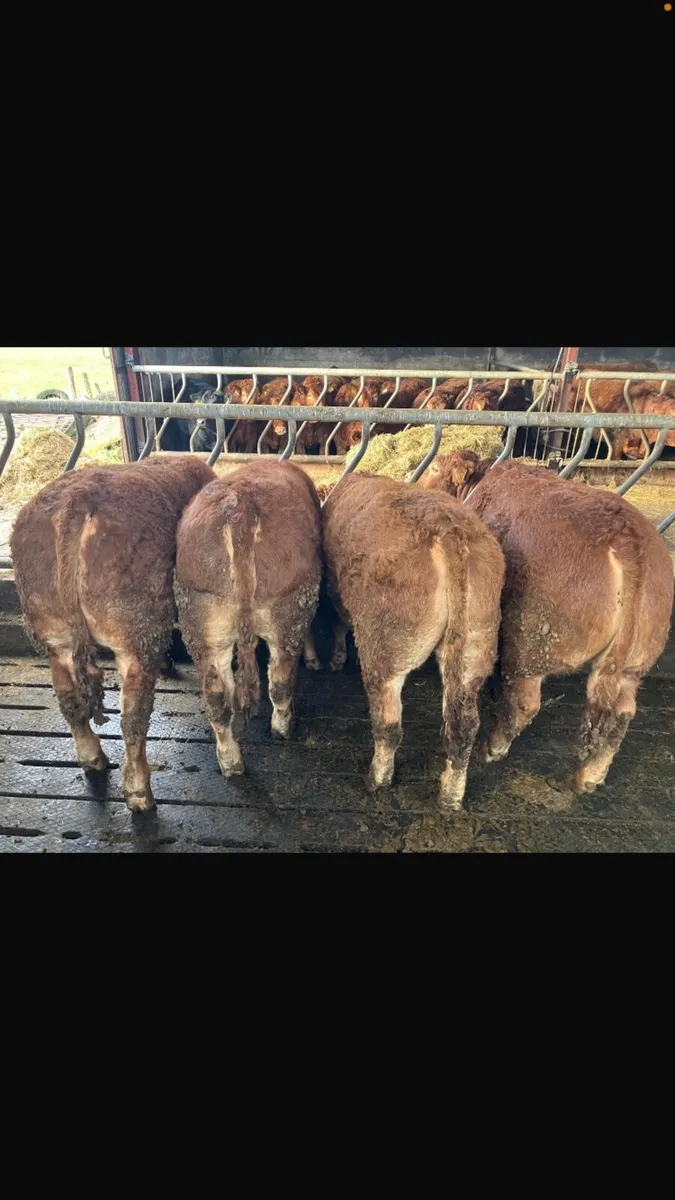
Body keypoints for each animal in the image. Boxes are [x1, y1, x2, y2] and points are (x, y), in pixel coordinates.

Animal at [10, 456, 216, 811]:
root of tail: (75, 502)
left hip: (53, 632)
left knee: (68, 699)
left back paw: (92, 758)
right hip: (134, 631)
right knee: (133, 716)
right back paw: (139, 793)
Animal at [173, 460, 322, 778]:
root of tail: (238, 508)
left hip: (201, 618)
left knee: (216, 697)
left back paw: (230, 762)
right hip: (288, 607)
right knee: (279, 680)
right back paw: (283, 728)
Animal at [322, 472, 504, 809]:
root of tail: (447, 527)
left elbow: (339, 623)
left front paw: (337, 658)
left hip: (387, 647)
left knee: (388, 723)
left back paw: (378, 779)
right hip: (476, 642)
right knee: (464, 726)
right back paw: (450, 795)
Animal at [418, 453, 674, 795]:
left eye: (434, 468)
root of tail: (626, 539)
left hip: (530, 644)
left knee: (525, 704)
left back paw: (493, 747)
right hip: (634, 663)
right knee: (622, 712)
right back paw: (591, 775)